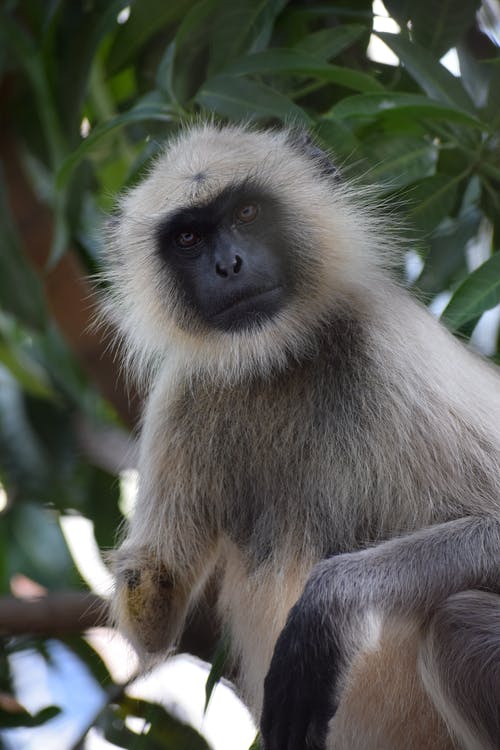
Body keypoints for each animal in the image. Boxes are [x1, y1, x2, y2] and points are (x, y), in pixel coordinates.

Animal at [102, 125, 500, 750]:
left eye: (246, 212)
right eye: (189, 238)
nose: (229, 265)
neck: (280, 359)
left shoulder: (388, 347)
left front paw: (328, 607)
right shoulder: (184, 392)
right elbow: (154, 619)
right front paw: (143, 586)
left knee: (456, 623)